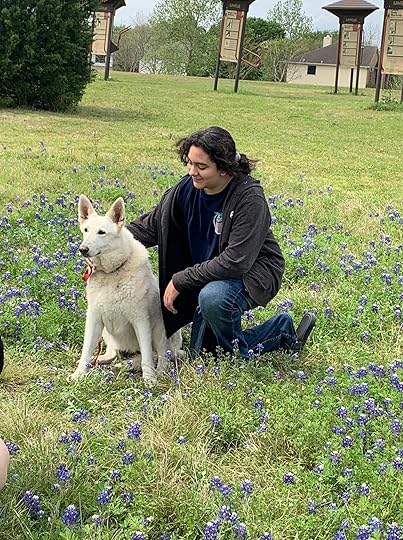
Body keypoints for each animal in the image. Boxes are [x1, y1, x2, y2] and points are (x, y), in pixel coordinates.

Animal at [71, 195, 181, 385]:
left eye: (101, 232)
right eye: (85, 230)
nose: (83, 249)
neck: (111, 273)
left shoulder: (140, 320)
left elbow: (146, 358)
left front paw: (149, 380)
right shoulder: (94, 318)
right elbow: (86, 350)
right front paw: (79, 375)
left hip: (160, 329)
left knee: (161, 355)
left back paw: (160, 372)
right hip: (106, 332)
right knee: (113, 353)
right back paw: (100, 360)